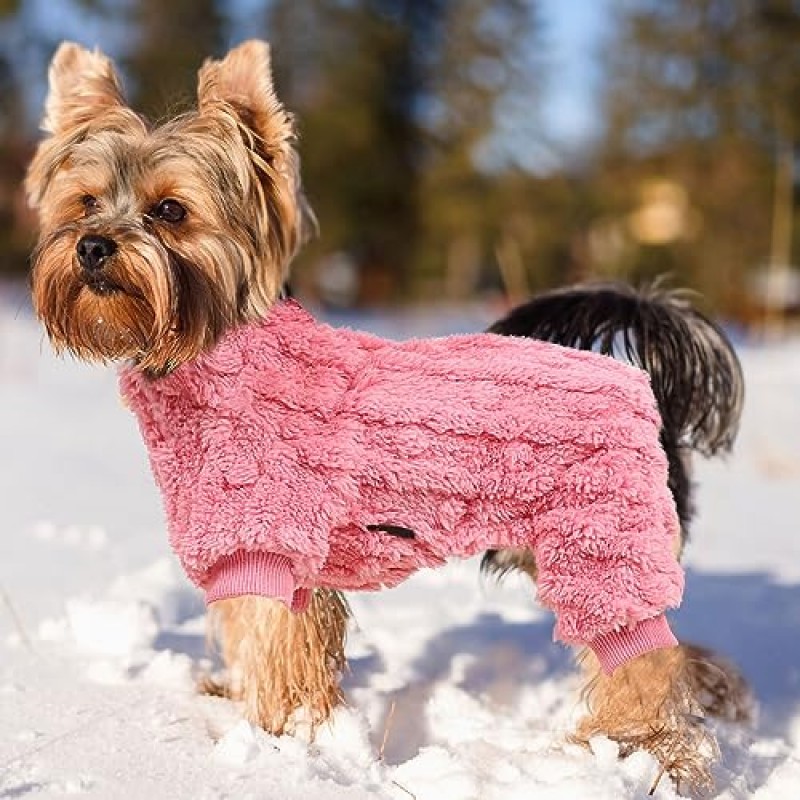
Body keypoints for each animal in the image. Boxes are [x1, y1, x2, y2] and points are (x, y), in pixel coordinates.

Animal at [26, 42, 752, 792]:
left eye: (170, 210)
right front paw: (238, 705)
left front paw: (278, 742)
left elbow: (276, 650)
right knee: (673, 647)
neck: (203, 351)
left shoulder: (274, 548)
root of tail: (649, 386)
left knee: (643, 658)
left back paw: (644, 753)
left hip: (601, 545)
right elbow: (246, 634)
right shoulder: (242, 549)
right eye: (85, 203)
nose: (91, 246)